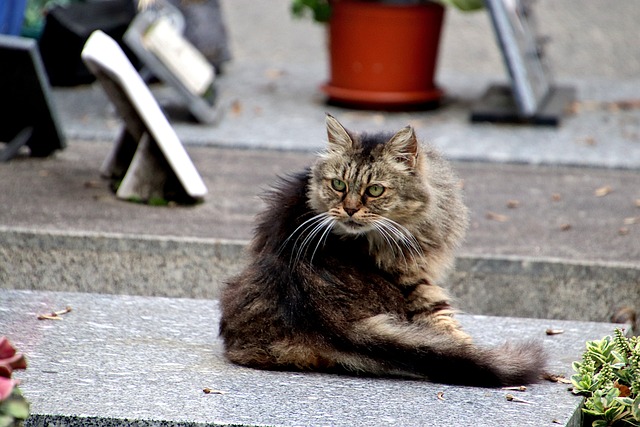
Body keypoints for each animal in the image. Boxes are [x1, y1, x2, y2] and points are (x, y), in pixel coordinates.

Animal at [220, 114, 544, 388]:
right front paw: (470, 348)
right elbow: (447, 325)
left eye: (375, 190)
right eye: (339, 184)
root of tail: (319, 312)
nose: (350, 209)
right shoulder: (417, 280)